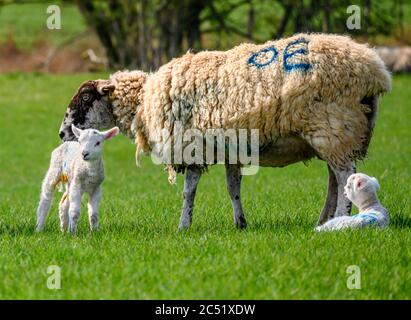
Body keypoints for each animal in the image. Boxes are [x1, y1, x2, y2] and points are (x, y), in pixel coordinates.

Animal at [58, 33, 392, 230]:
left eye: (85, 97)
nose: (62, 133)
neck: (143, 101)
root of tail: (376, 71)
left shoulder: (191, 148)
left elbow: (188, 192)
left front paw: (183, 226)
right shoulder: (231, 149)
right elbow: (233, 189)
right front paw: (240, 223)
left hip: (335, 126)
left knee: (343, 175)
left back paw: (340, 217)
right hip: (333, 134)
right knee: (335, 178)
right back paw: (324, 218)